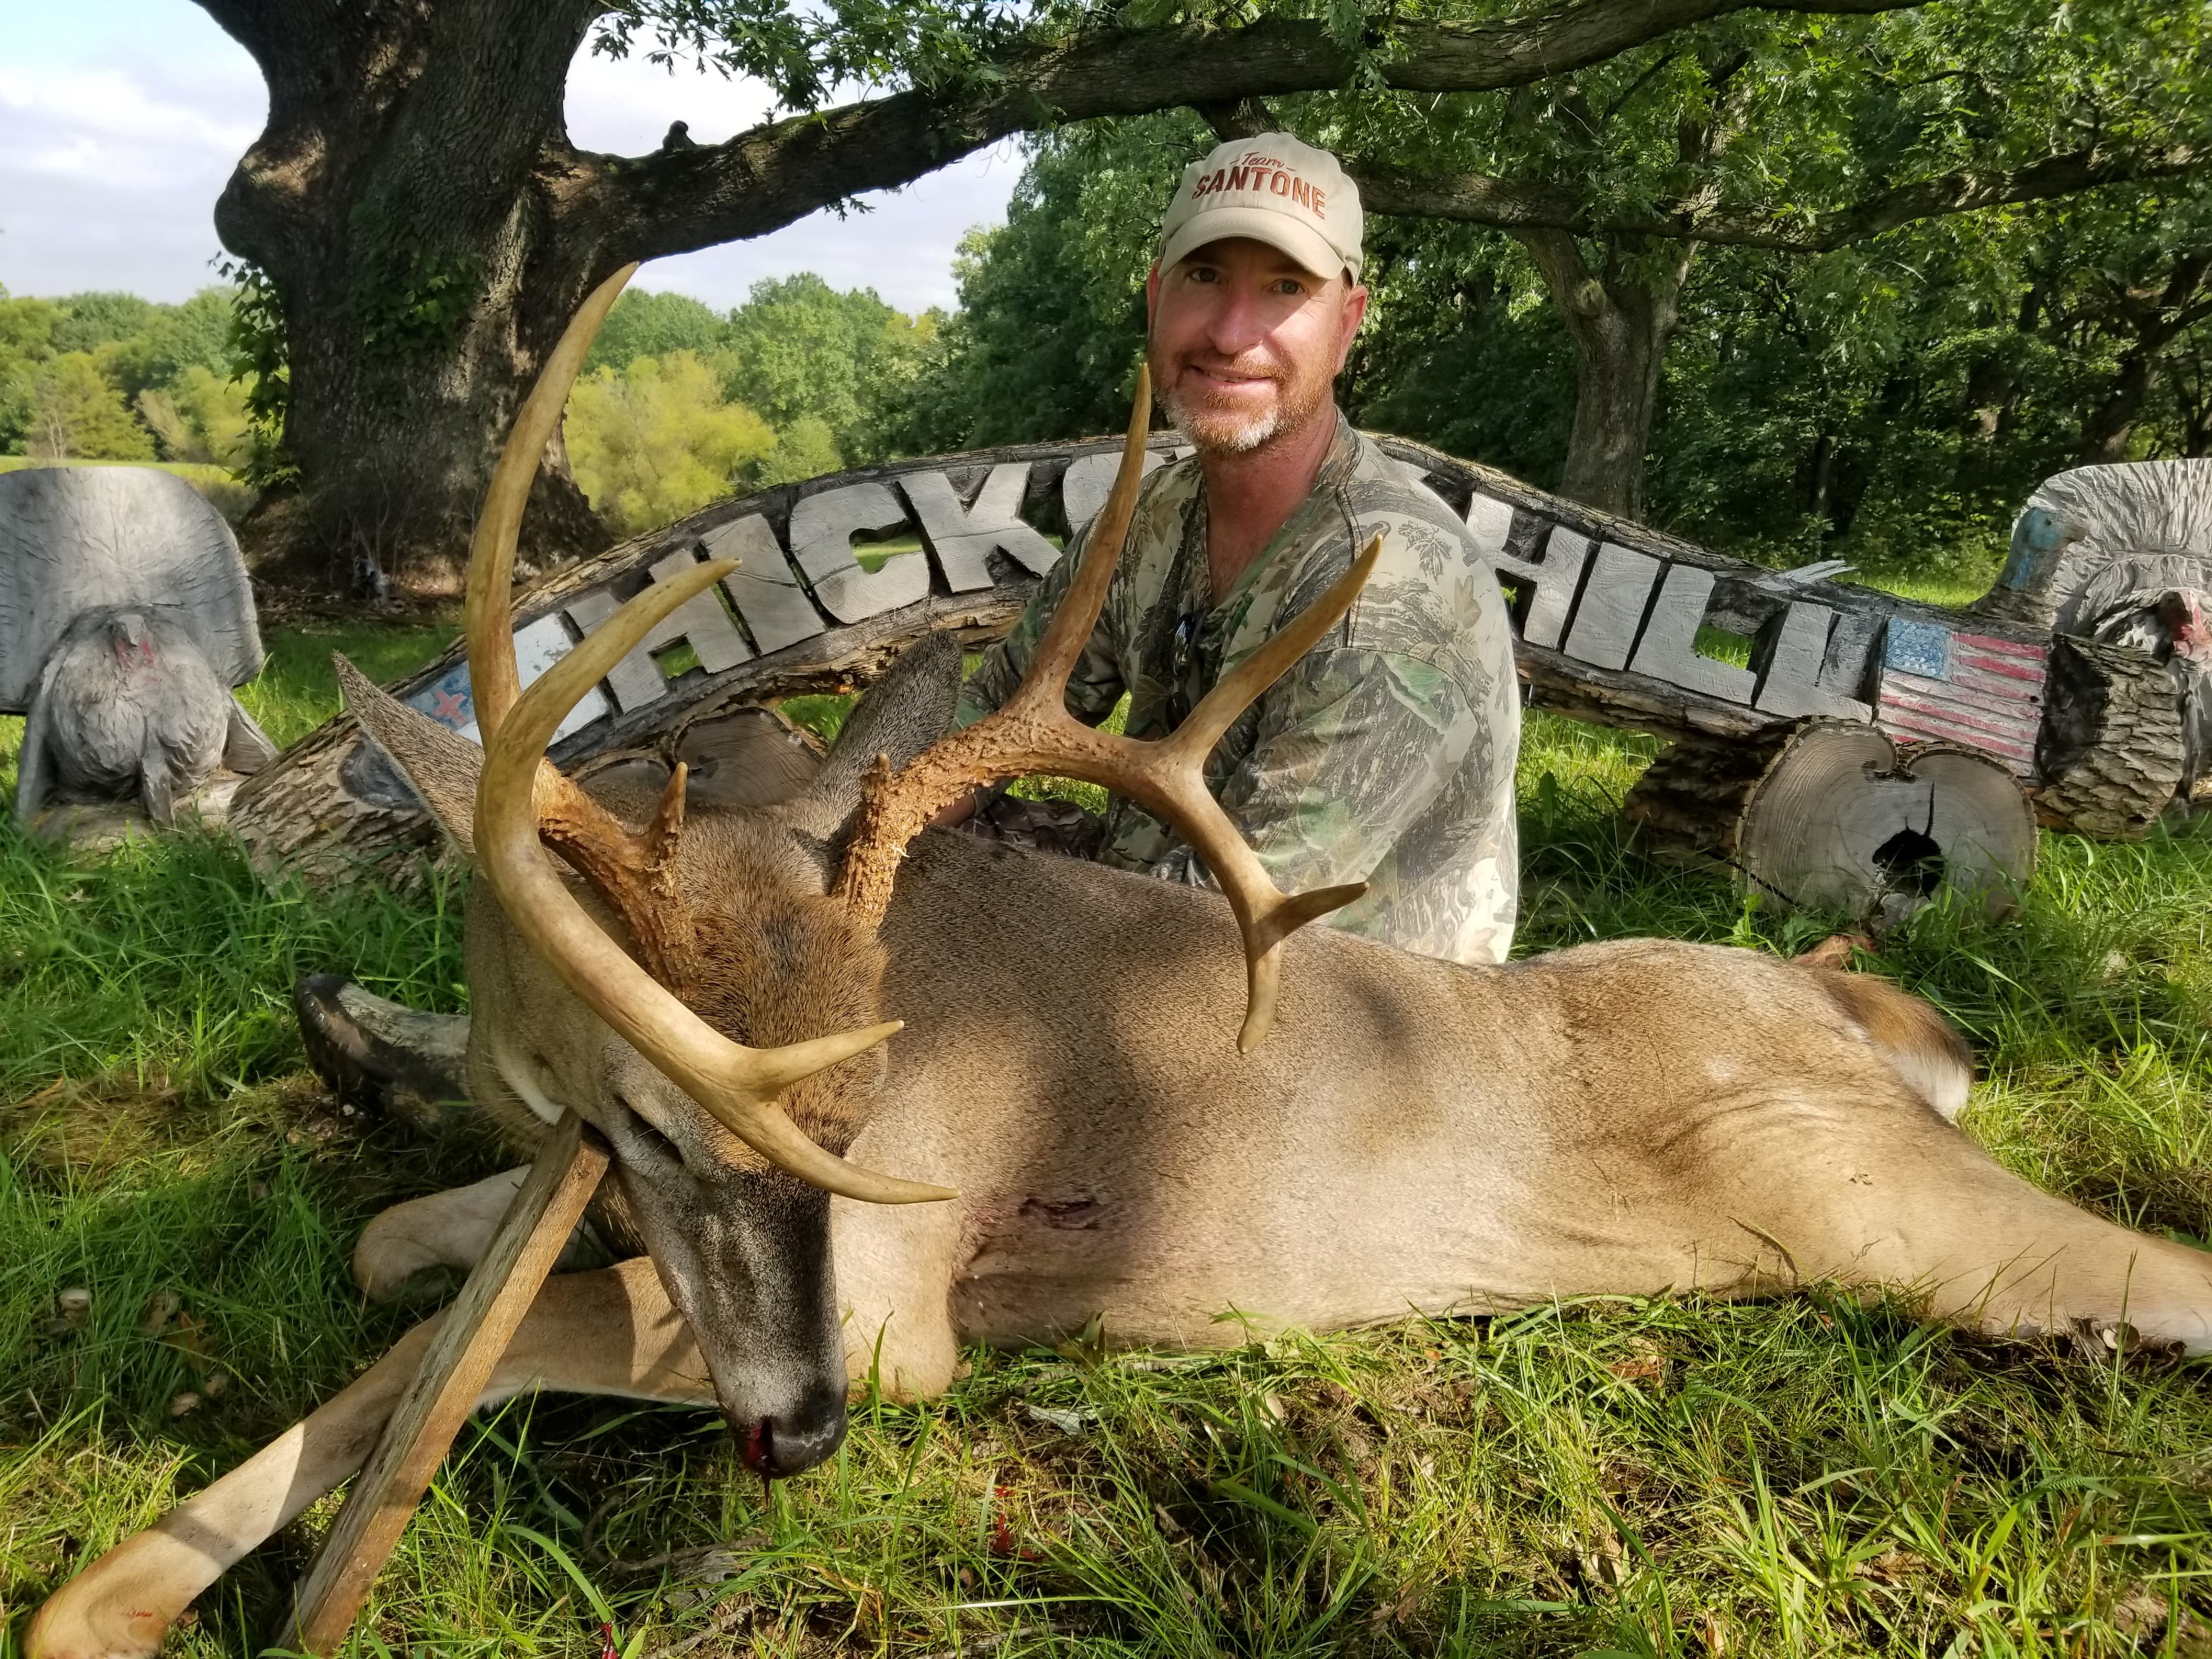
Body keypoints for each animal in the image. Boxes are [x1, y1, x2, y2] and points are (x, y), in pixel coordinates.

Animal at [30, 268, 2212, 1659]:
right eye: (647, 1112)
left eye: (865, 1110)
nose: (800, 1436)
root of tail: (1867, 1010)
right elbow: (396, 1250)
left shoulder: (900, 1315)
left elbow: (430, 1339)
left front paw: (100, 1603)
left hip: (1877, 1195)